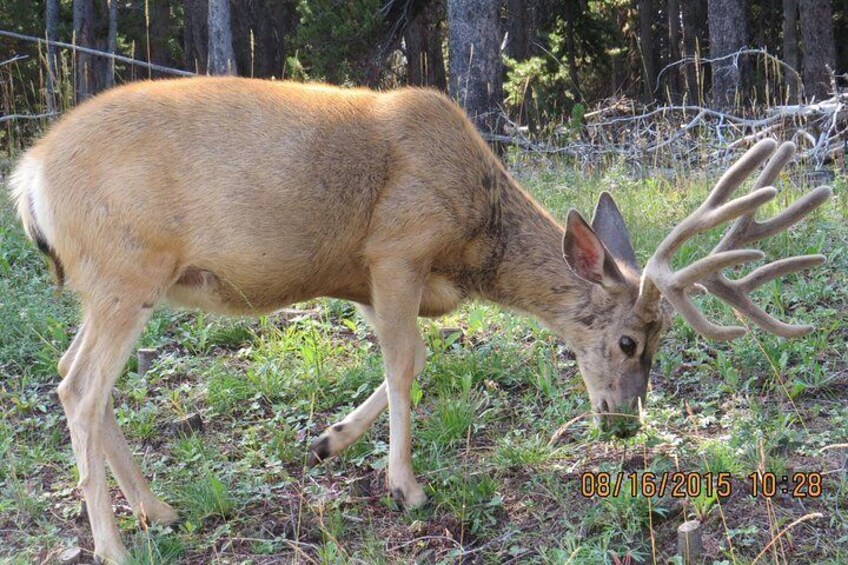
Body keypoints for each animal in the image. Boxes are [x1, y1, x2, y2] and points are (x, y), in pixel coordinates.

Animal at [9, 77, 832, 560]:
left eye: (661, 340)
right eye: (629, 339)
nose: (625, 421)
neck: (472, 240)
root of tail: (29, 175)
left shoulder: (378, 282)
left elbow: (403, 361)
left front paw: (330, 439)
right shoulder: (395, 247)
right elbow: (407, 365)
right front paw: (406, 486)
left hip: (114, 283)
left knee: (74, 377)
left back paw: (159, 510)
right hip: (125, 266)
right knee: (79, 388)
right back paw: (115, 544)